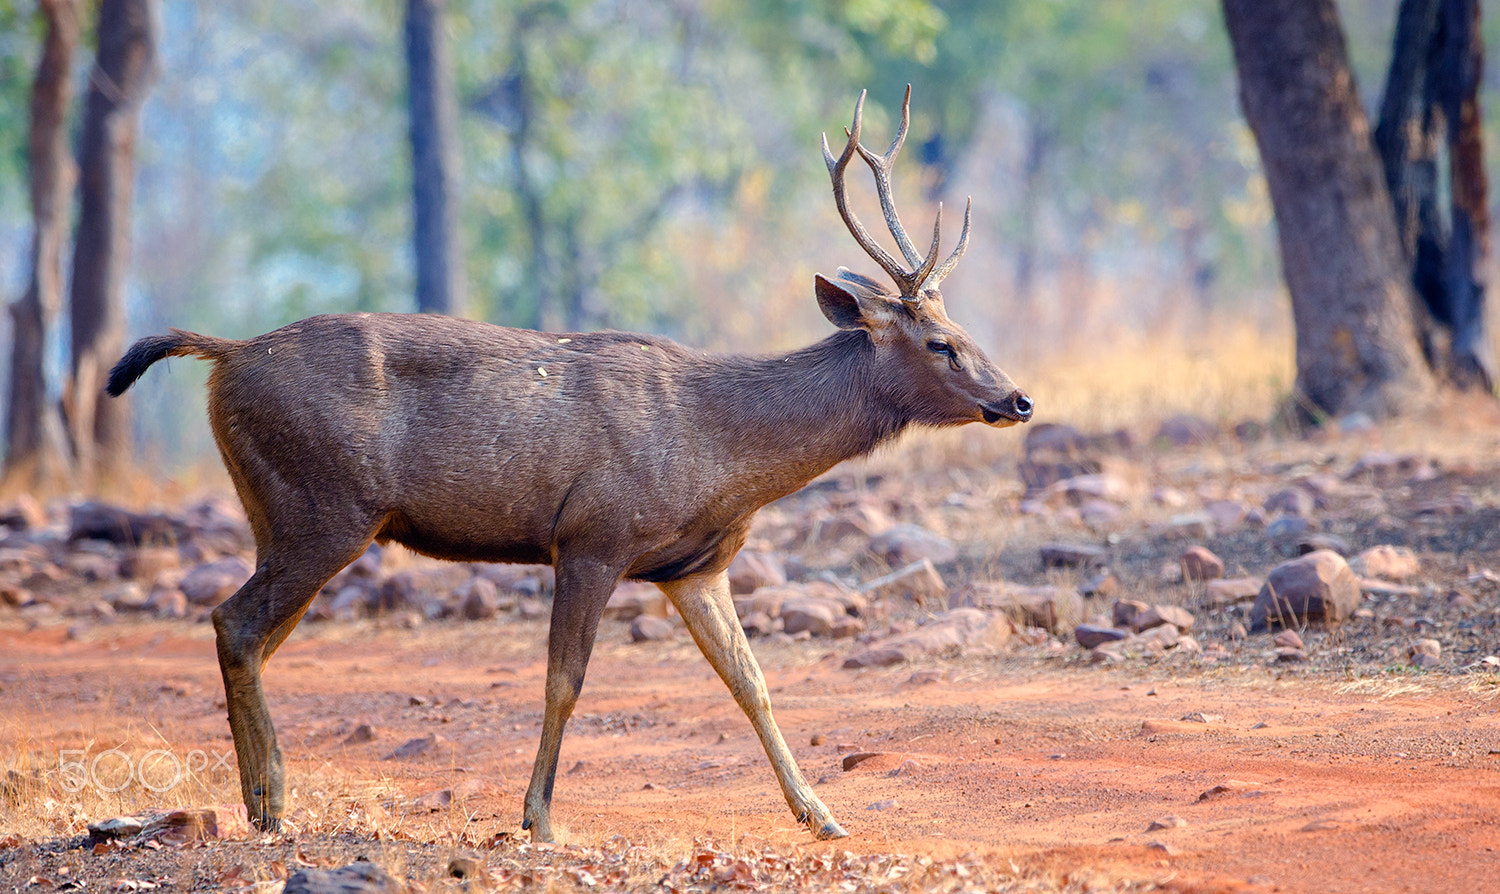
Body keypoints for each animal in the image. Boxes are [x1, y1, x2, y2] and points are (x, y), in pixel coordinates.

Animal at [108, 87, 1032, 840]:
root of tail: (225, 355)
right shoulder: (593, 534)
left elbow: (752, 681)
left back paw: (265, 797)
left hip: (283, 515)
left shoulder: (693, 565)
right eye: (941, 343)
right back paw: (269, 803)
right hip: (321, 507)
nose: (1019, 399)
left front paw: (822, 816)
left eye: (967, 328)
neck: (723, 452)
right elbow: (565, 681)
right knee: (235, 622)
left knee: (248, 633)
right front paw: (539, 821)